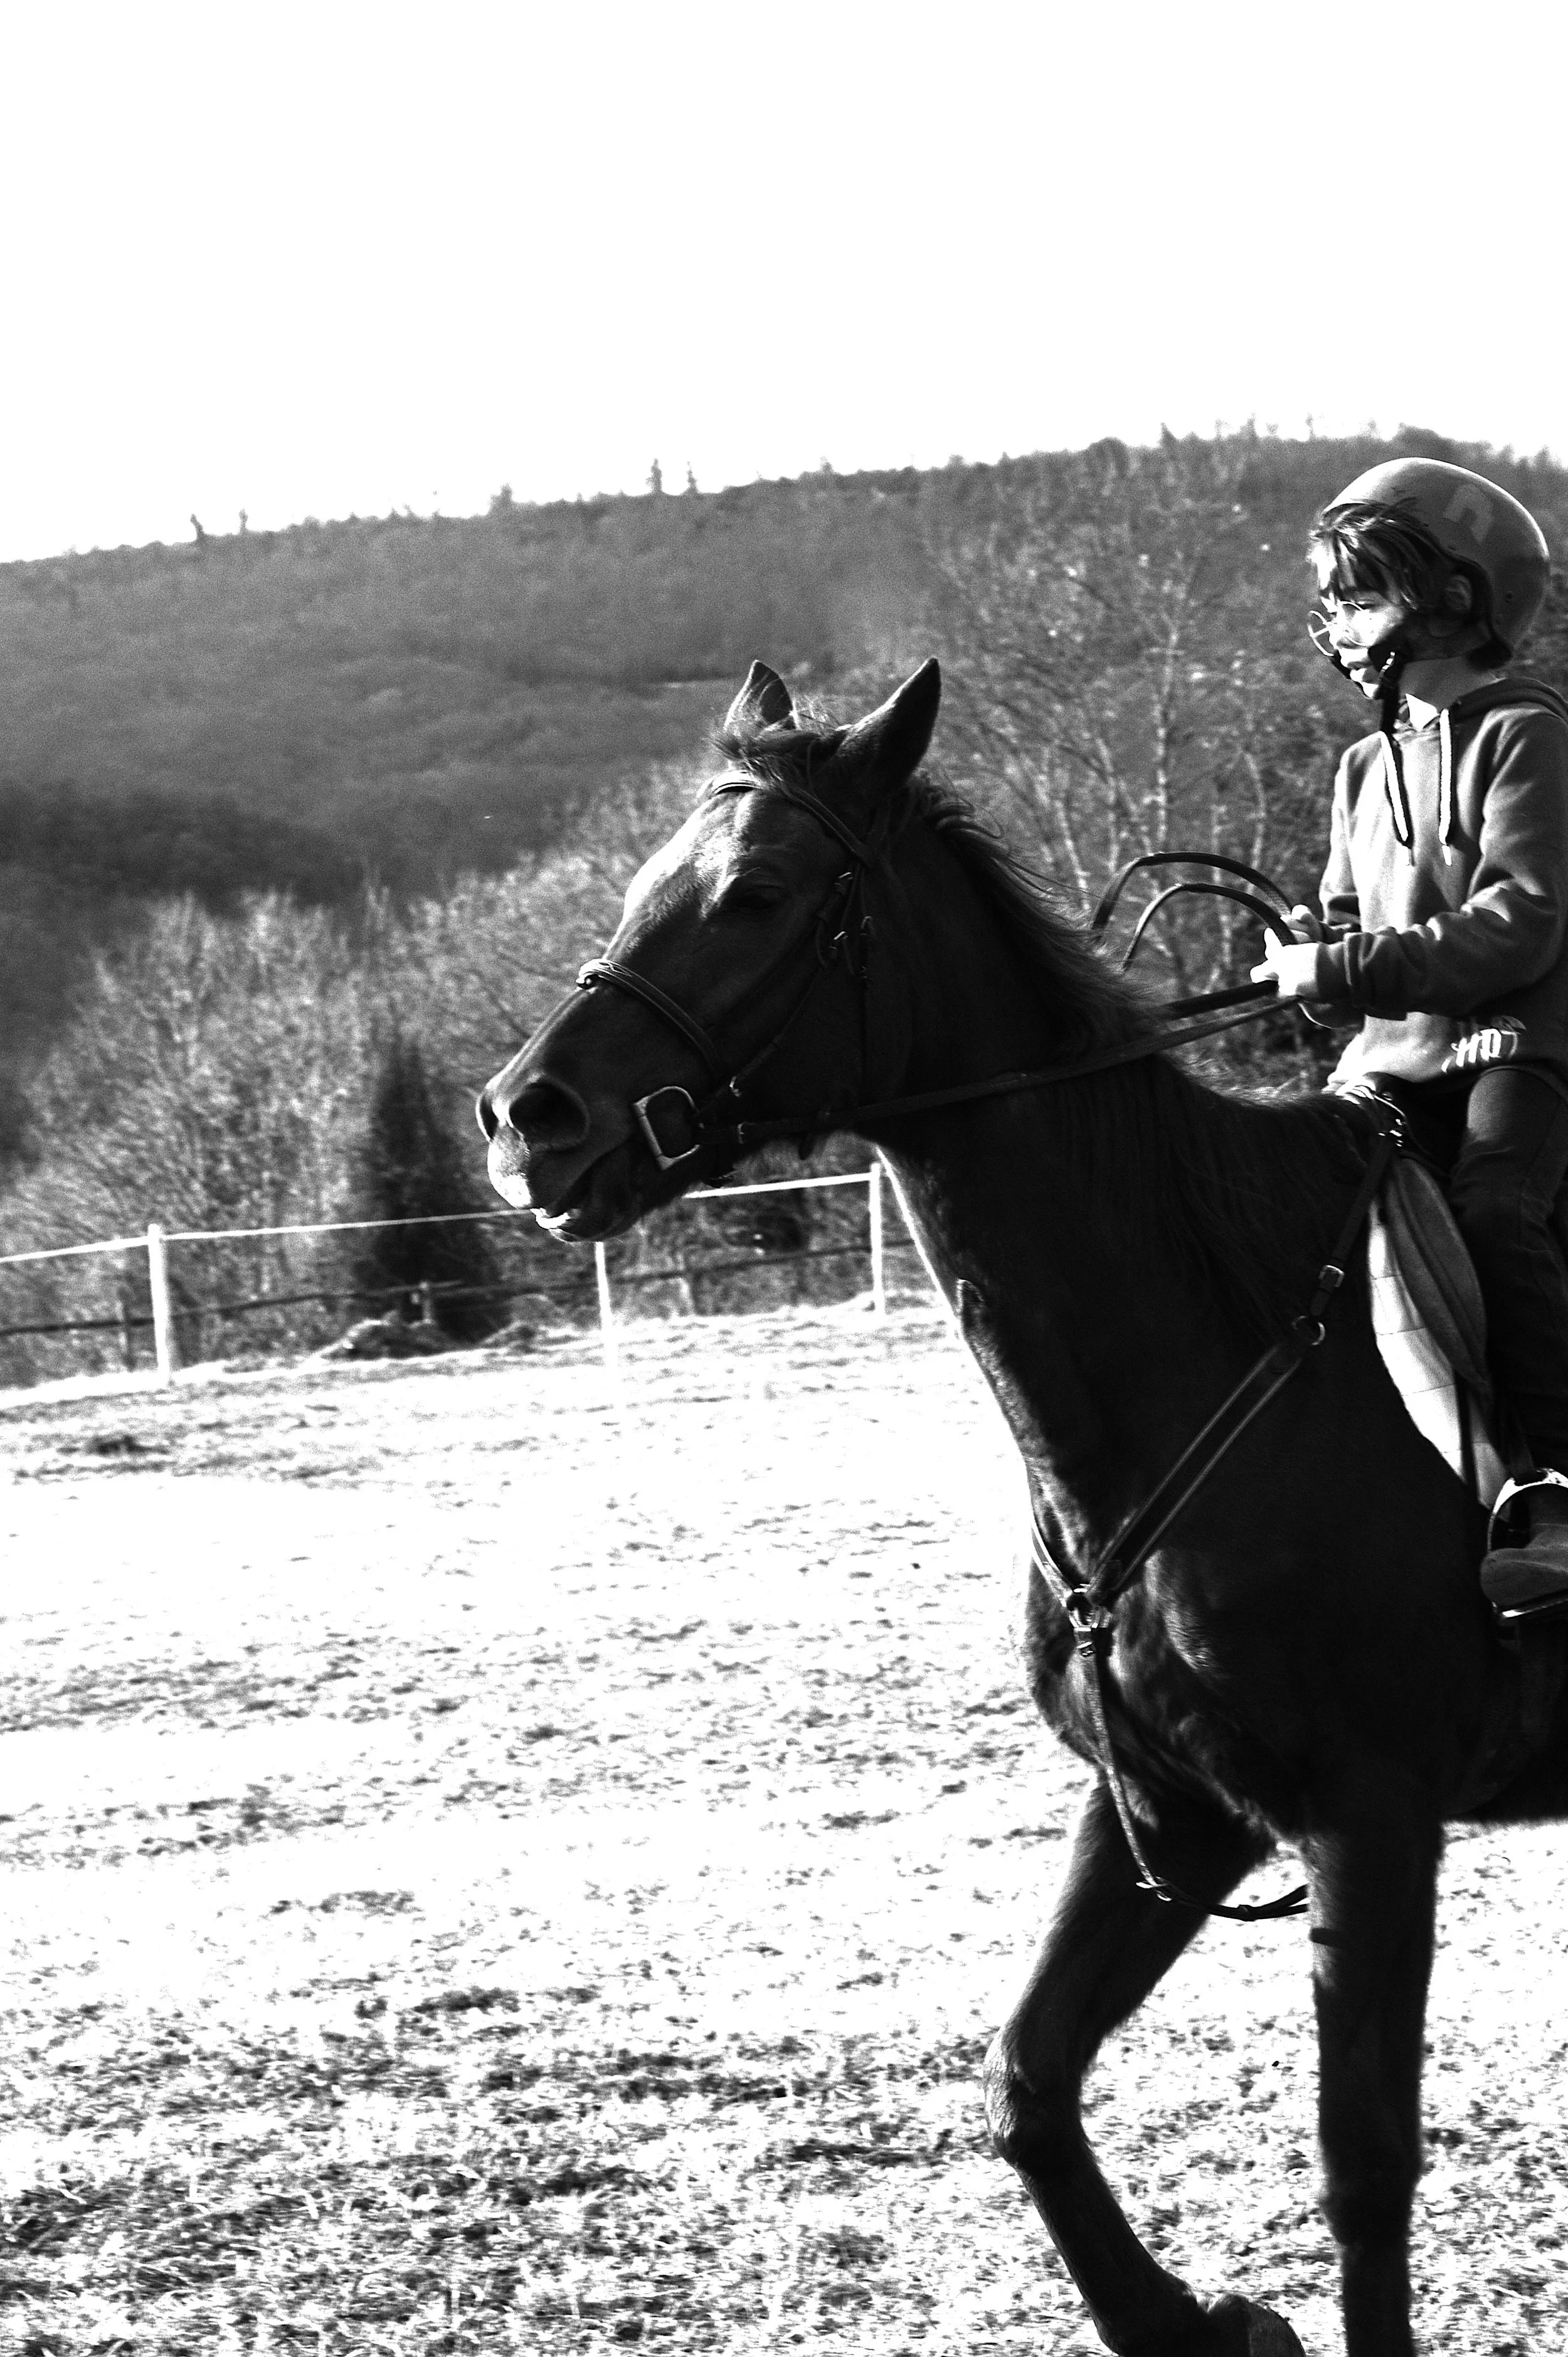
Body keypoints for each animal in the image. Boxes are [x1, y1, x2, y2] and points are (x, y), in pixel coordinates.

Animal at [476, 658, 1568, 2357]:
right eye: (653, 879)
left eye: (757, 894)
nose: (529, 1118)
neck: (1211, 1343)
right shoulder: (1172, 1815)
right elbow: (1026, 2082)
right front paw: (1196, 2322)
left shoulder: (1369, 1822)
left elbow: (1361, 2168)